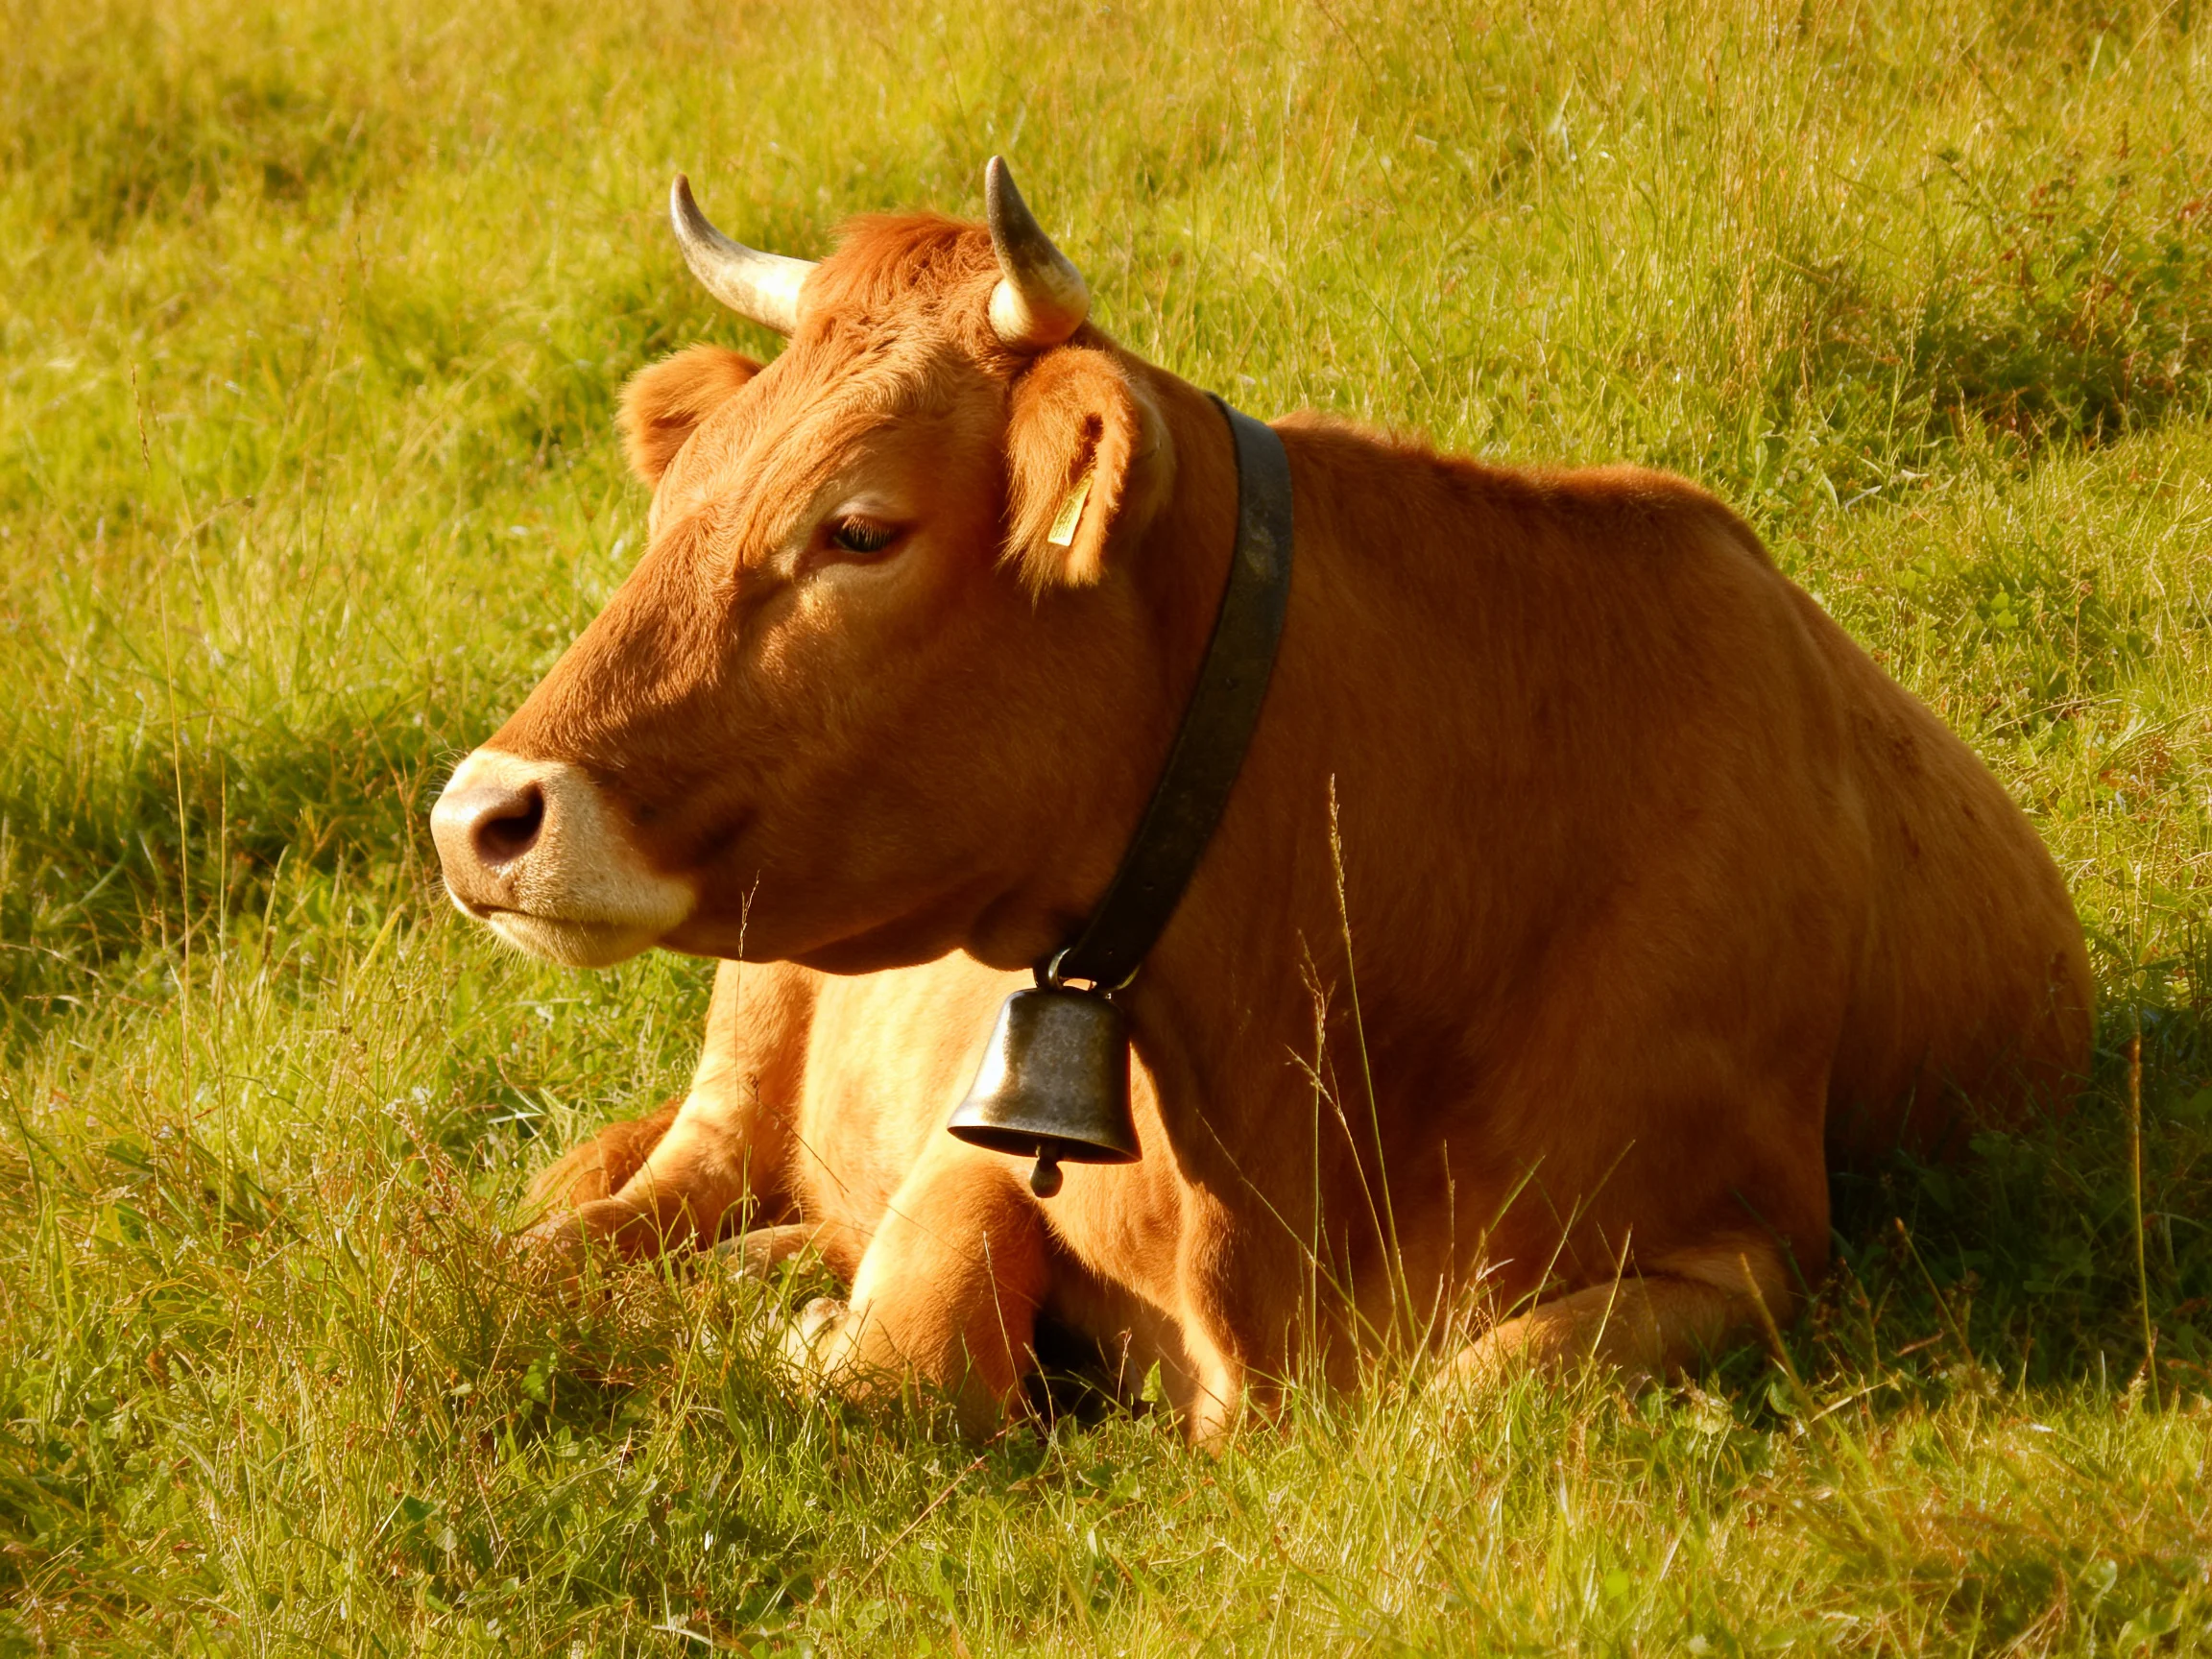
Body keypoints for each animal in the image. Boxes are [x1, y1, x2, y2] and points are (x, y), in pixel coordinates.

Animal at [430, 159, 2092, 1442]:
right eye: (677, 495)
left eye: (858, 528)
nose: (479, 816)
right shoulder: (977, 1153)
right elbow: (903, 1368)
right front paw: (810, 1336)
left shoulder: (1754, 1240)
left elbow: (1475, 1403)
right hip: (749, 1035)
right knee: (615, 1218)